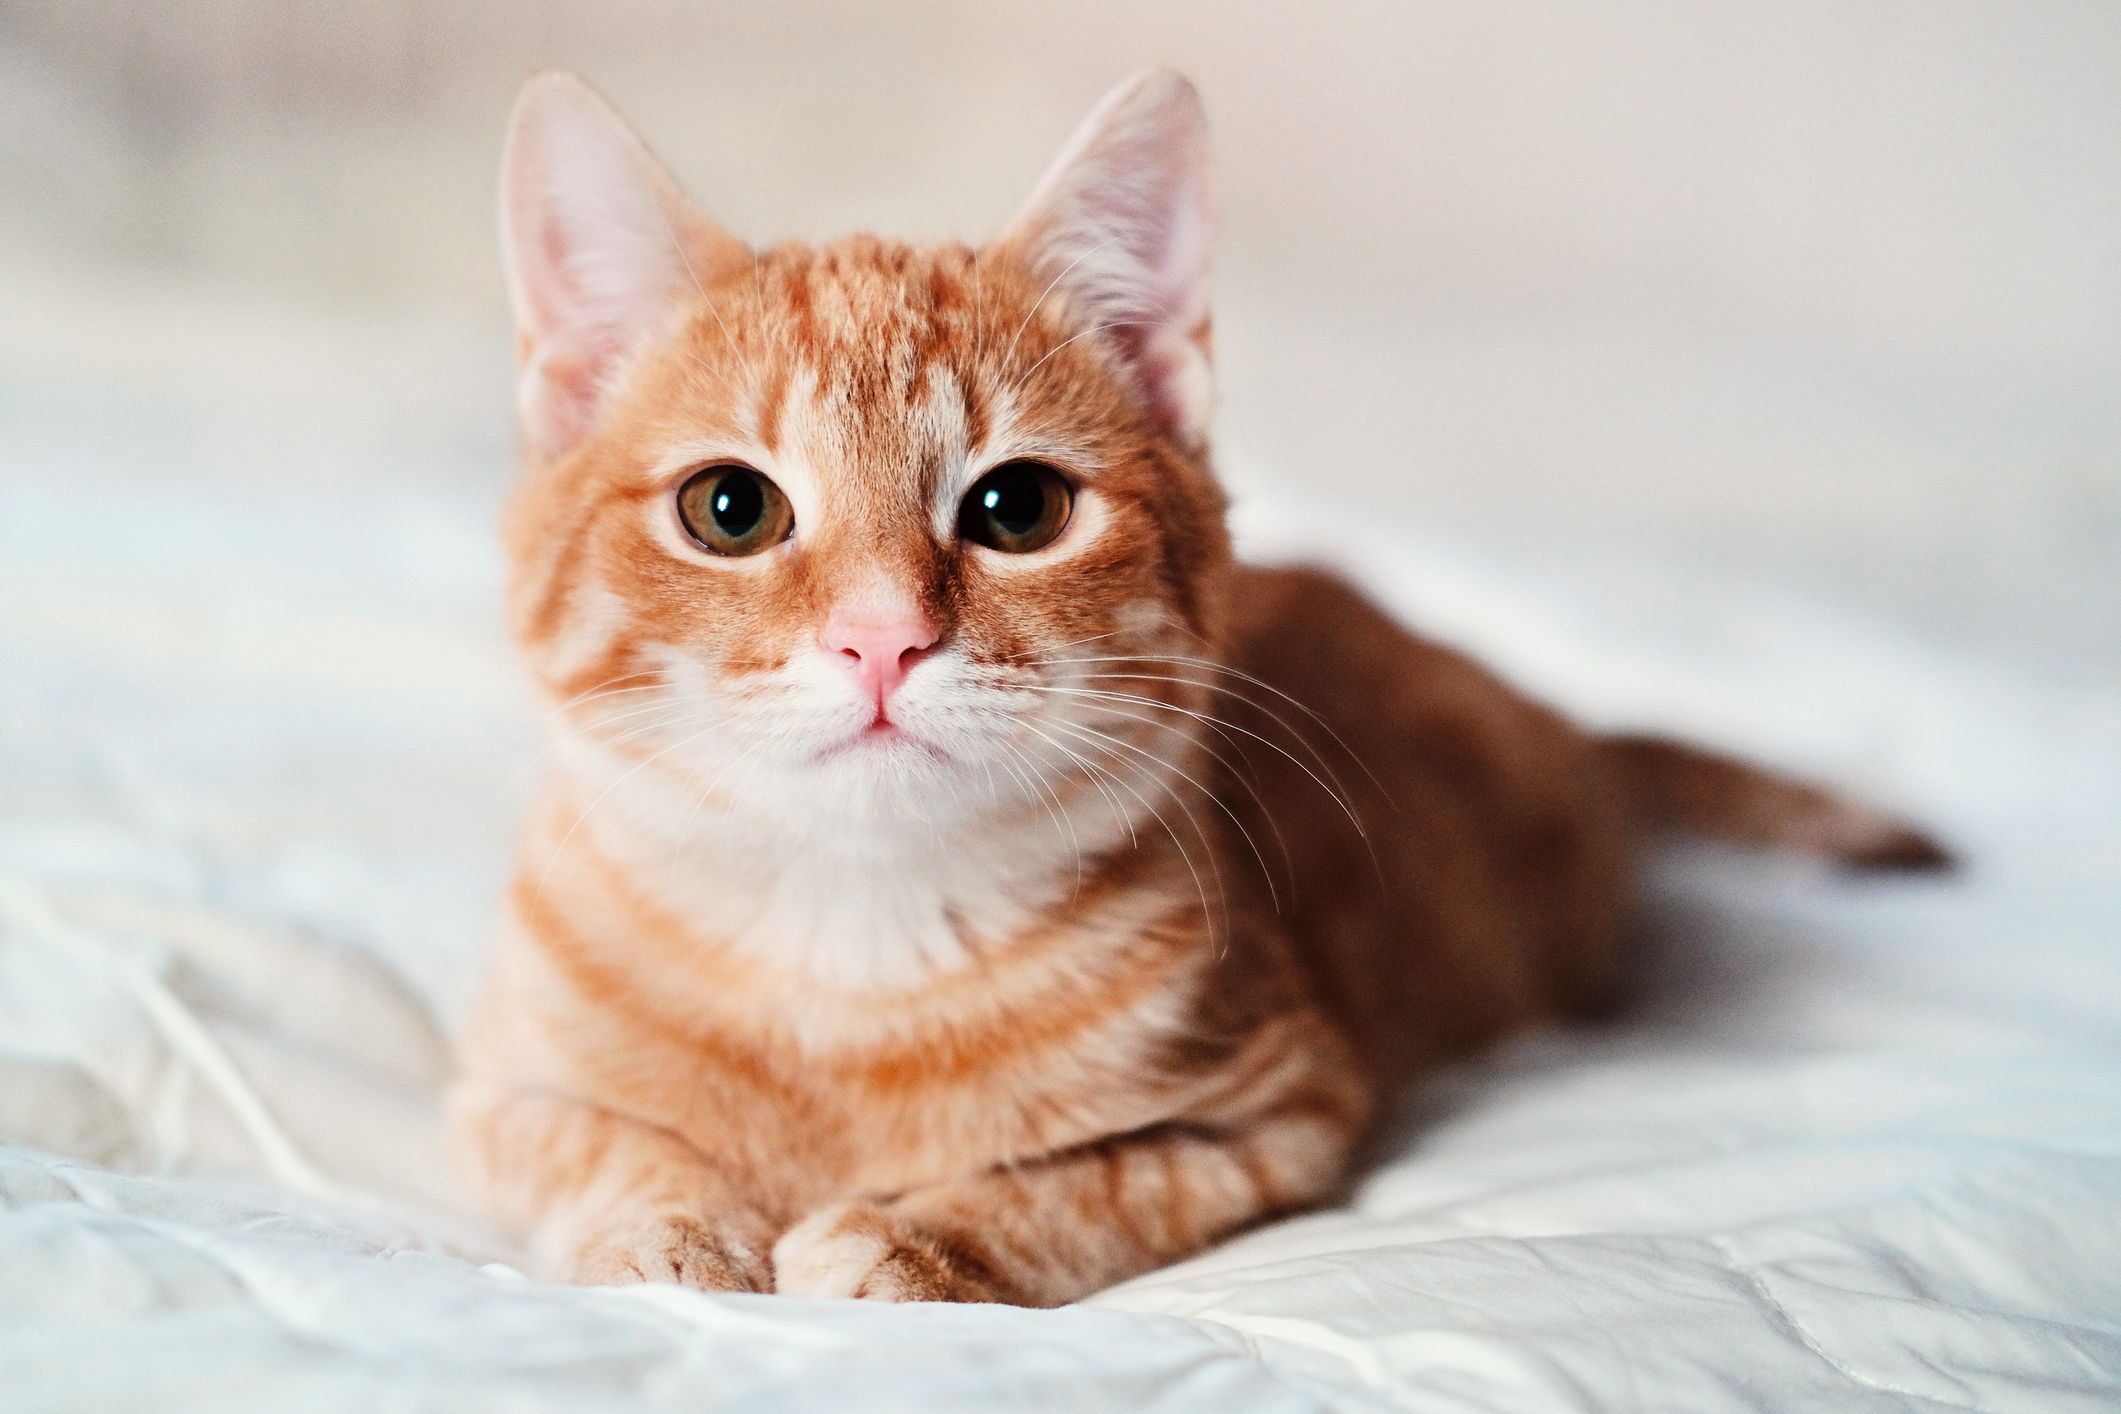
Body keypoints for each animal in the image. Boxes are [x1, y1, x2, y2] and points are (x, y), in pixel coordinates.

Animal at [456, 66, 1942, 1305]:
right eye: (730, 508)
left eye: (1015, 508)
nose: (882, 638)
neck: (852, 956)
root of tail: (1549, 718)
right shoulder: (497, 1092)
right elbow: (598, 1143)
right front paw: (674, 1223)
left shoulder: (1280, 1112)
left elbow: (1083, 1186)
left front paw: (910, 1232)